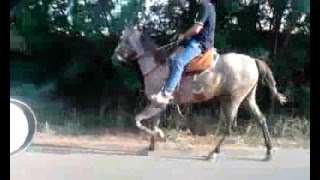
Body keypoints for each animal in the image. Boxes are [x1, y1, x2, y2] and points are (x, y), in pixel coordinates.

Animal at [111, 26, 286, 160]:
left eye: (123, 39)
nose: (114, 57)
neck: (157, 65)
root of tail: (253, 61)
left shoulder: (155, 103)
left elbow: (138, 121)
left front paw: (160, 137)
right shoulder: (159, 105)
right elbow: (153, 123)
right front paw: (151, 146)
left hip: (233, 100)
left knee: (229, 128)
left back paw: (212, 153)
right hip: (247, 99)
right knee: (261, 120)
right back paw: (268, 152)